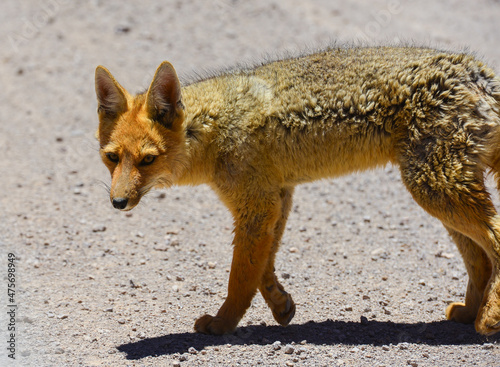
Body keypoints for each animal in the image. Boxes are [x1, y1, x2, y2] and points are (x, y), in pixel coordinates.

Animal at [95, 45, 500, 336]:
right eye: (111, 158)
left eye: (148, 160)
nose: (117, 202)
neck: (212, 125)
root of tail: (480, 73)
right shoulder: (277, 197)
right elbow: (262, 268)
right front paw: (280, 305)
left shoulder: (257, 206)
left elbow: (240, 277)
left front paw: (223, 324)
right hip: (441, 196)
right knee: (481, 260)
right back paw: (470, 312)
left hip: (433, 189)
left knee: (494, 242)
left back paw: (489, 319)